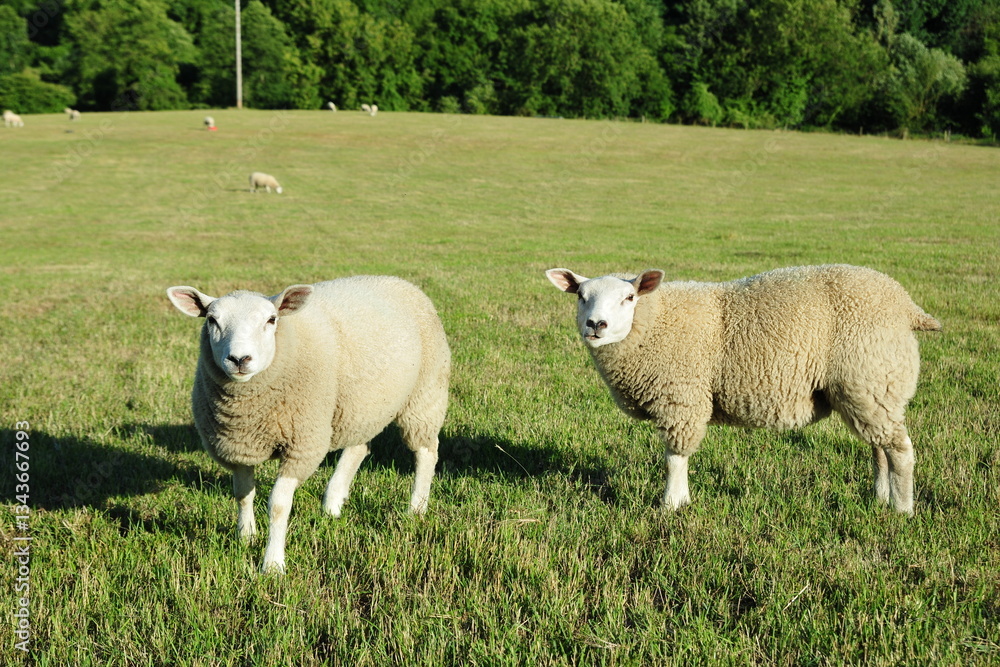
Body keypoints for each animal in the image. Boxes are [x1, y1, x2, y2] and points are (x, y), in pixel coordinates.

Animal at [167, 277, 451, 573]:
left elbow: (278, 505)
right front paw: (246, 537)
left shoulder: (301, 444)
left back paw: (416, 509)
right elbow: (243, 494)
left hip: (425, 393)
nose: (239, 359)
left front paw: (272, 565)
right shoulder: (239, 445)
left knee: (426, 452)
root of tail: (399, 281)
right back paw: (333, 504)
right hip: (361, 405)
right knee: (358, 448)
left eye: (271, 319)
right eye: (212, 320)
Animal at [545, 264, 940, 515]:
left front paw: (672, 505)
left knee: (901, 451)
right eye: (580, 295)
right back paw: (880, 498)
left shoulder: (682, 398)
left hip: (871, 377)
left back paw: (902, 510)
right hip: (869, 391)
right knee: (880, 447)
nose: (596, 324)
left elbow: (675, 458)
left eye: (629, 297)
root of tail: (907, 306)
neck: (653, 321)